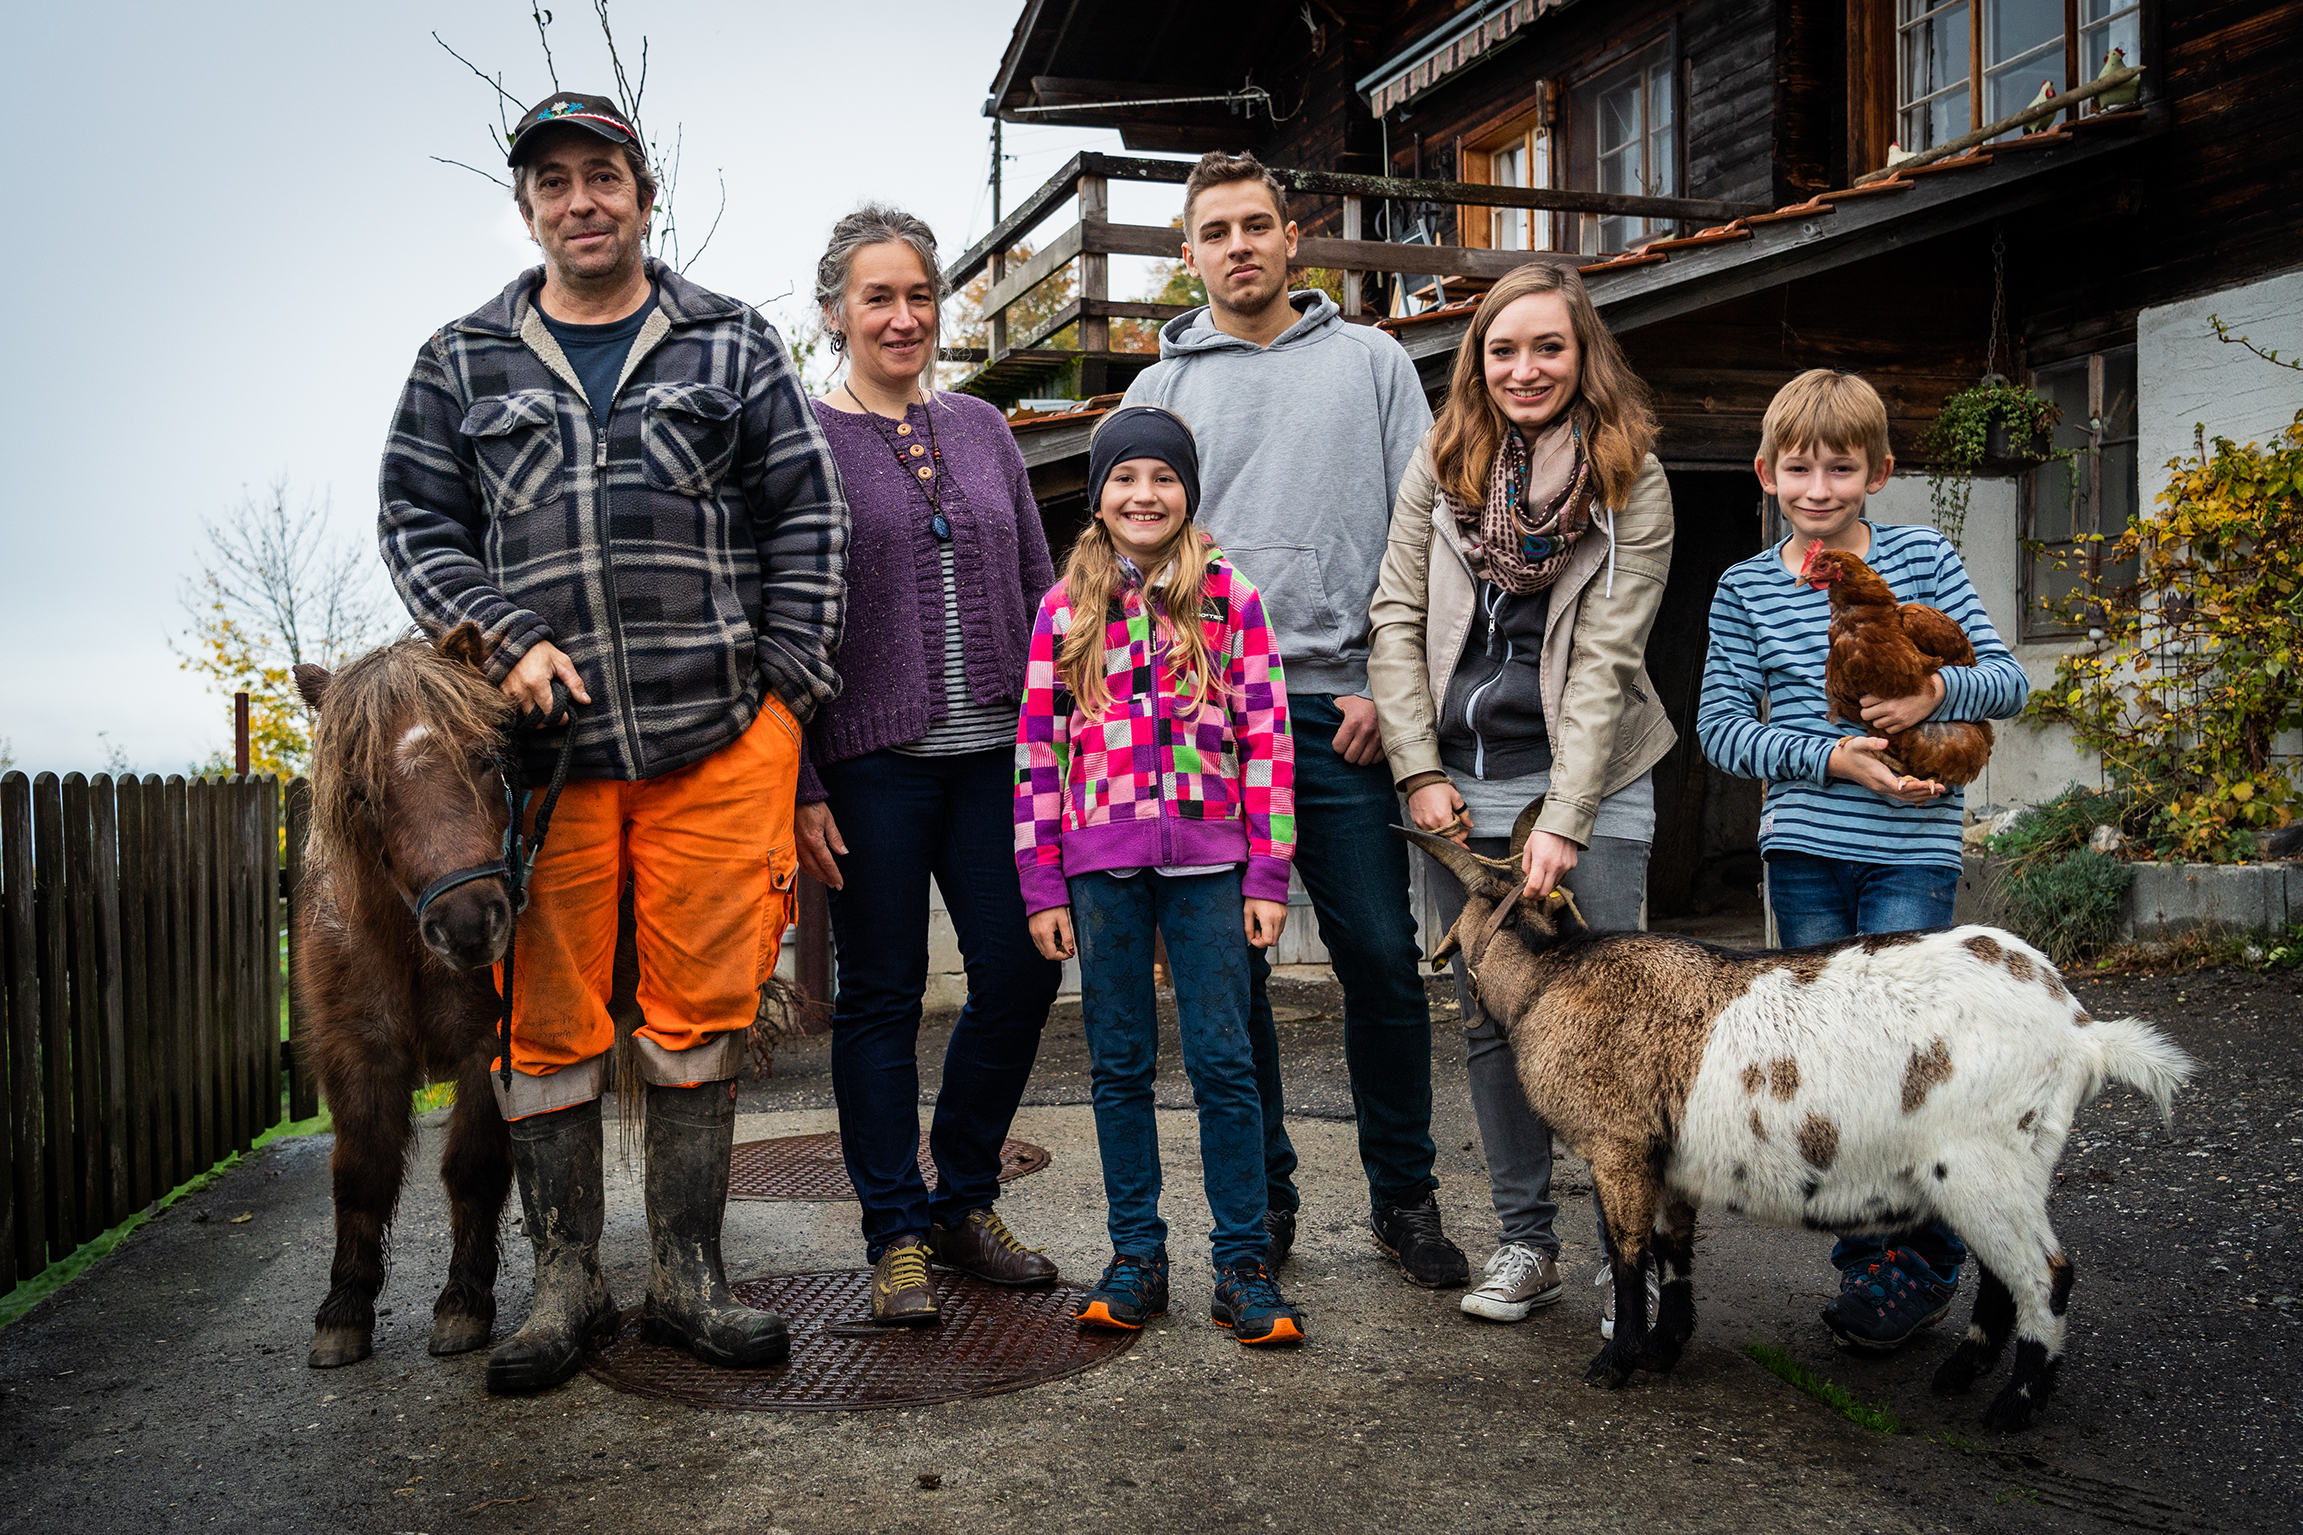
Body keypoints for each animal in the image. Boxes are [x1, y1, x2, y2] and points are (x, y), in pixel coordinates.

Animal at [292, 625, 518, 1371]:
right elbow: (362, 1175)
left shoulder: (487, 1051)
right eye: (362, 793)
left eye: (484, 758)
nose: (469, 925)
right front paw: (343, 1311)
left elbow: (474, 1166)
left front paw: (464, 1301)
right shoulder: (358, 1055)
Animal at [1400, 823, 2192, 1436]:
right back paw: (1959, 1373)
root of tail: (2080, 1033)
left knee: (2045, 1275)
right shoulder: (1669, 1161)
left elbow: (1628, 1257)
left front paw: (1615, 1363)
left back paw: (2013, 1407)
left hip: (1984, 1164)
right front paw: (1663, 1351)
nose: (1435, 955)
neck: (1552, 978)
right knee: (2005, 1276)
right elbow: (1673, 1253)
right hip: (1990, 1173)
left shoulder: (1618, 1147)